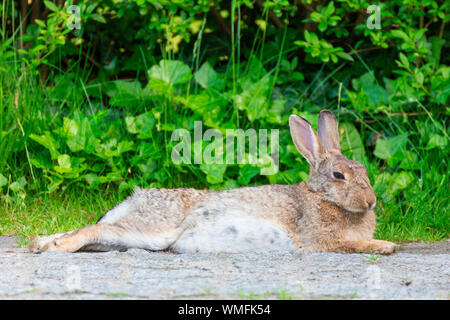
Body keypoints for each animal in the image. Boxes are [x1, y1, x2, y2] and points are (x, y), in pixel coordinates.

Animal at [26, 110, 396, 255]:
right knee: (95, 229)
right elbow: (354, 244)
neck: (324, 197)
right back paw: (52, 248)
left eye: (364, 170)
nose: (371, 202)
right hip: (155, 230)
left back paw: (40, 242)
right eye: (339, 176)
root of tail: (136, 198)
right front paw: (386, 246)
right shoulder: (321, 239)